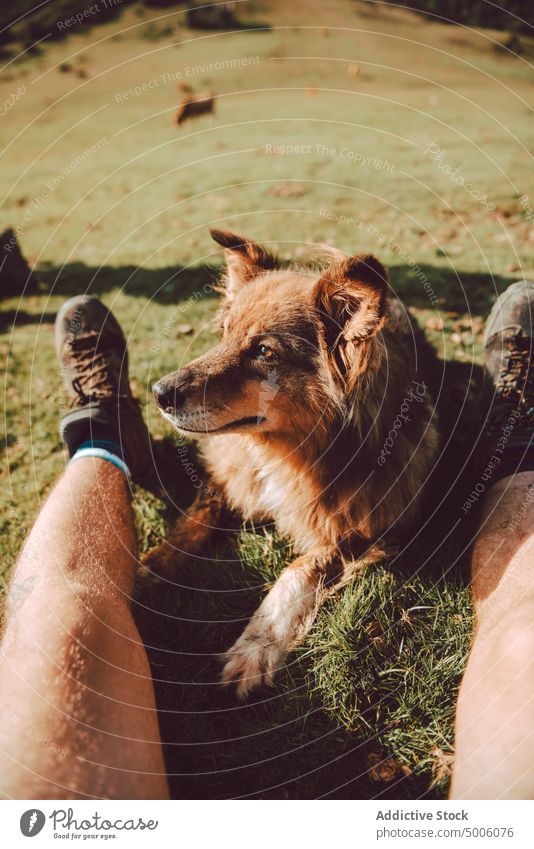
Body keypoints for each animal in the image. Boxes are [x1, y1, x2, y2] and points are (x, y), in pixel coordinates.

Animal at [146, 230, 440, 696]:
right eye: (224, 334)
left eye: (264, 351)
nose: (158, 393)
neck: (285, 452)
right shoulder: (229, 481)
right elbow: (189, 526)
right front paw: (146, 571)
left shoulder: (369, 534)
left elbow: (299, 568)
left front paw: (256, 645)